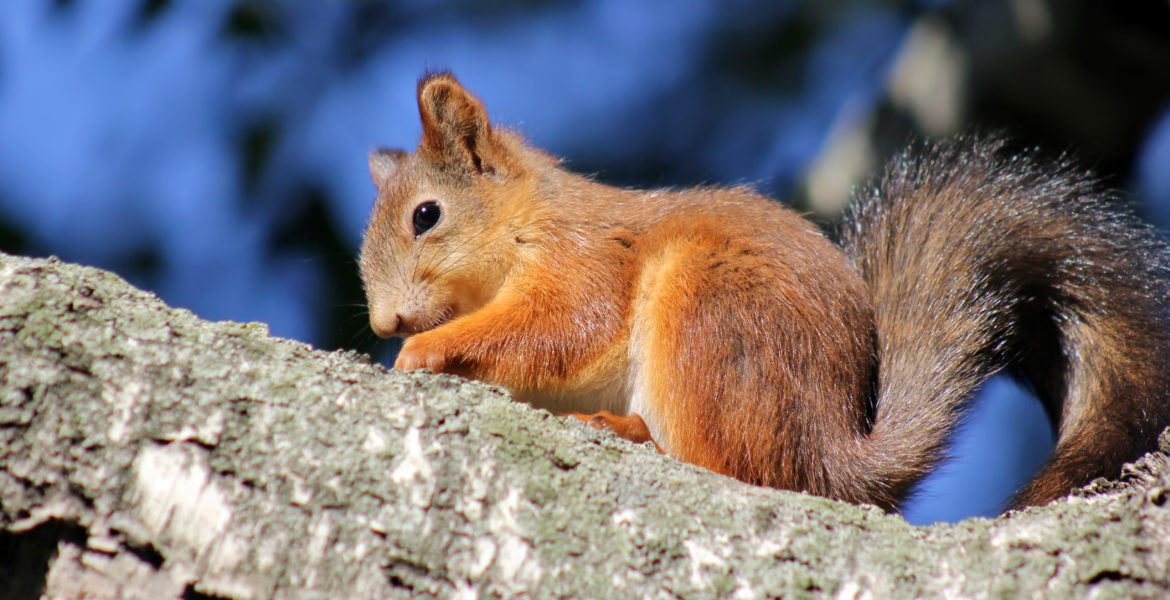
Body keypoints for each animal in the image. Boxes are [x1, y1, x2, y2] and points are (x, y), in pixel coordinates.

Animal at [359, 72, 1170, 511]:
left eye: (426, 215)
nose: (386, 320)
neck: (526, 220)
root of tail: (830, 458)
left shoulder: (583, 261)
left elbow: (560, 328)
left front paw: (425, 351)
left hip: (708, 320)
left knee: (730, 467)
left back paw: (633, 430)